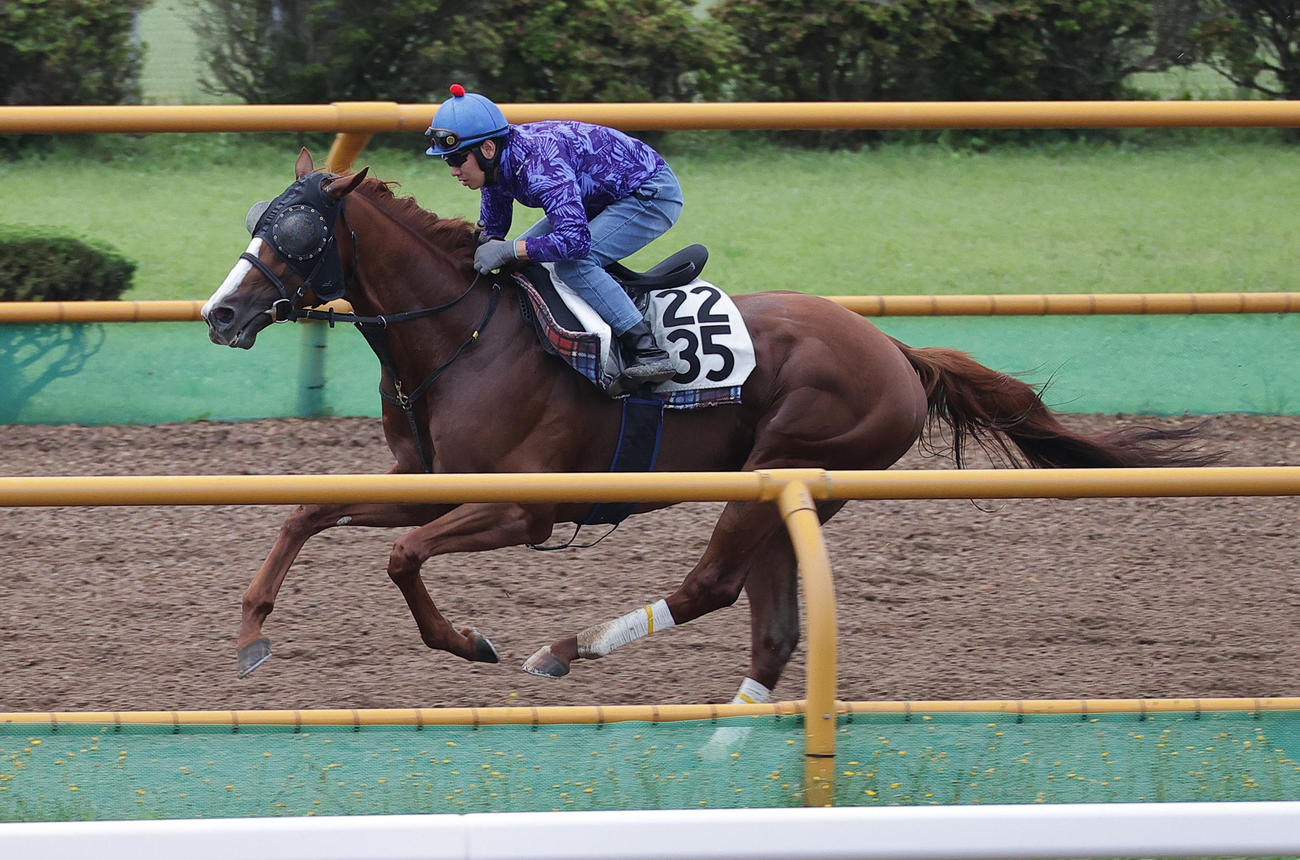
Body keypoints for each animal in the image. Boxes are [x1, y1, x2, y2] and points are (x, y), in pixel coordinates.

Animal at [202, 149, 1213, 701]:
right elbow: (308, 513)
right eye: (254, 220)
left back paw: (568, 650)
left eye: (295, 236)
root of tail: (892, 347)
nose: (220, 314)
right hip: (785, 490)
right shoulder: (429, 480)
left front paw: (468, 641)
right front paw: (249, 635)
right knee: (770, 622)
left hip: (787, 464)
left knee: (713, 586)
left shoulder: (523, 510)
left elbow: (401, 556)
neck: (464, 334)